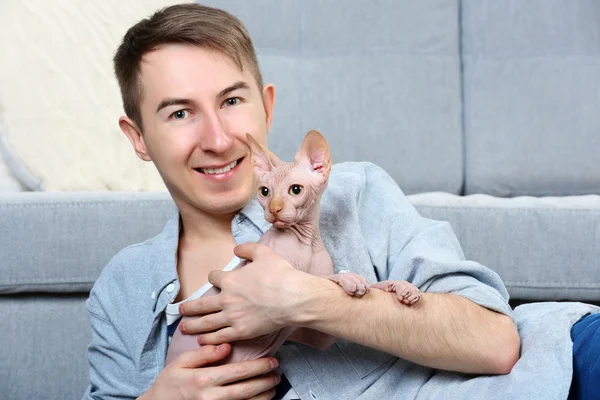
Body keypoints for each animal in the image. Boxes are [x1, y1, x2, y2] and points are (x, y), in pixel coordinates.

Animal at [165, 130, 422, 366]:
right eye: (265, 192)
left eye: (295, 190)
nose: (274, 209)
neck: (305, 242)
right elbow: (323, 278)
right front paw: (350, 278)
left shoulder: (316, 335)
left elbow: (369, 283)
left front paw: (399, 286)